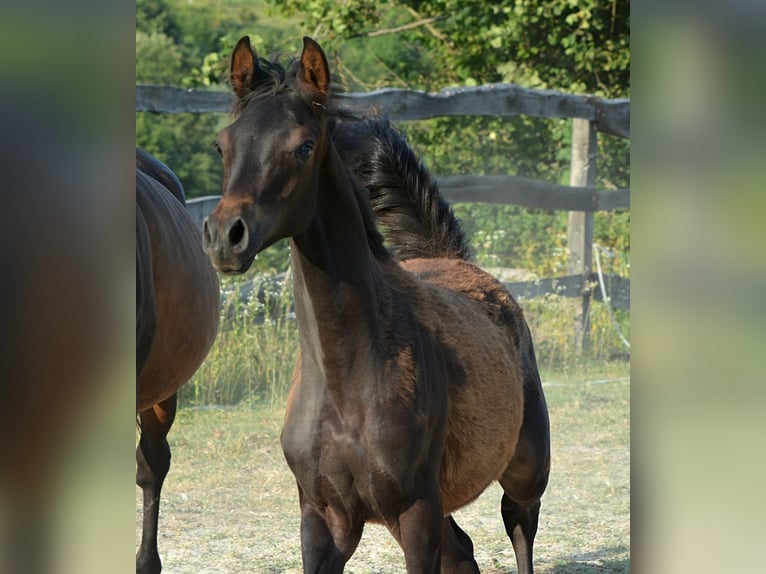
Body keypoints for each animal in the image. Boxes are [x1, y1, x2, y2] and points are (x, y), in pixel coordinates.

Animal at [202, 36, 550, 574]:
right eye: (223, 144)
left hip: (526, 471)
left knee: (519, 527)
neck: (347, 383)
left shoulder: (415, 513)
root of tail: (457, 261)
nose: (226, 237)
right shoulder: (323, 519)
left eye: (304, 146)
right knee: (463, 550)